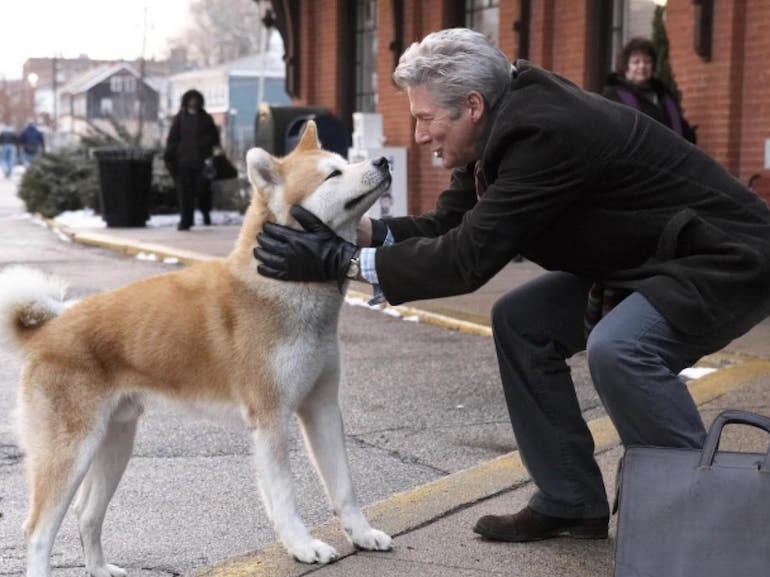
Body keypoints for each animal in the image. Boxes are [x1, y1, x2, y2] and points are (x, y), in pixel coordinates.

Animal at [0, 122, 392, 576]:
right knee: (38, 532)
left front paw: (362, 535)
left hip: (115, 444)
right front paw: (302, 545)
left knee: (87, 516)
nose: (384, 161)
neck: (281, 285)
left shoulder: (323, 407)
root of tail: (48, 331)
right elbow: (285, 497)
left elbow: (345, 486)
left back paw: (100, 568)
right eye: (333, 174)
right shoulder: (271, 419)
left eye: (346, 162)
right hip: (71, 453)